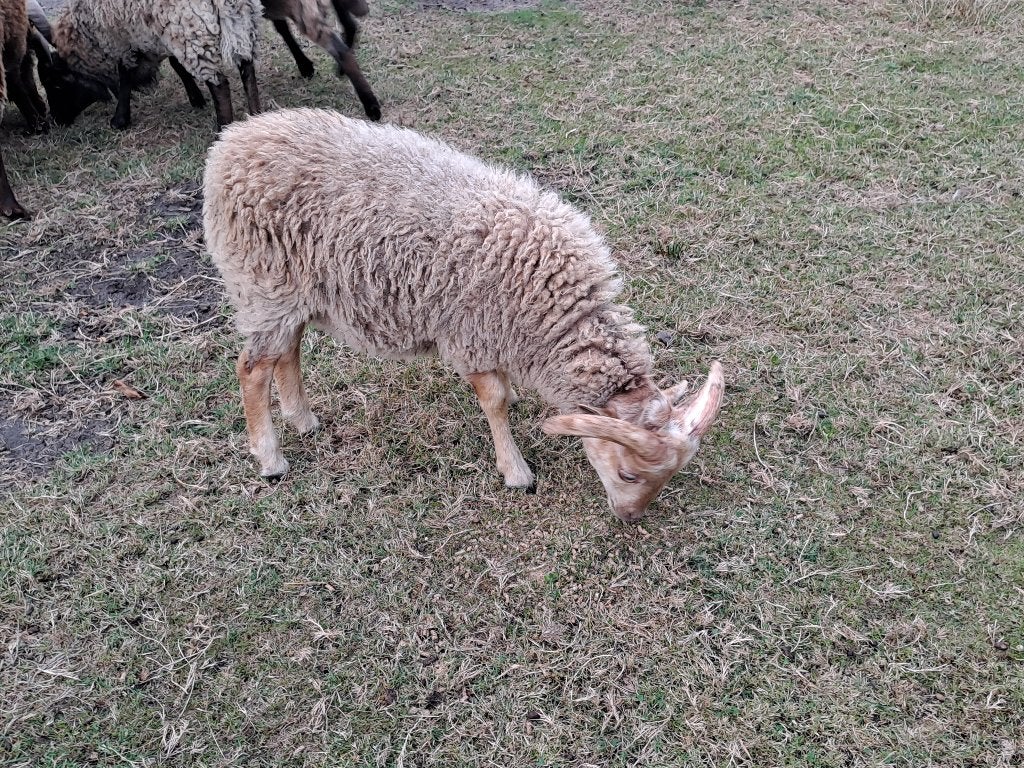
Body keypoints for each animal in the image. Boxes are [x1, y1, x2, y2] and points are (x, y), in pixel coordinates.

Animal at [36, 0, 263, 131]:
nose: (57, 121)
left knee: (220, 84)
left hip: (193, 31)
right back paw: (255, 119)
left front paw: (119, 120)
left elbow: (125, 75)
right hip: (241, 26)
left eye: (56, 84)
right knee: (248, 71)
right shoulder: (159, 36)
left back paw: (222, 129)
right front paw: (196, 98)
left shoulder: (123, 40)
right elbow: (177, 65)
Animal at [203, 108, 724, 522]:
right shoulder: (470, 331)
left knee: (286, 351)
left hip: (289, 292)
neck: (556, 311)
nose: (629, 518)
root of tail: (231, 141)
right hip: (262, 283)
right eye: (627, 473)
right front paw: (516, 471)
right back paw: (271, 459)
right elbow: (492, 401)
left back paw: (302, 419)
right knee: (252, 368)